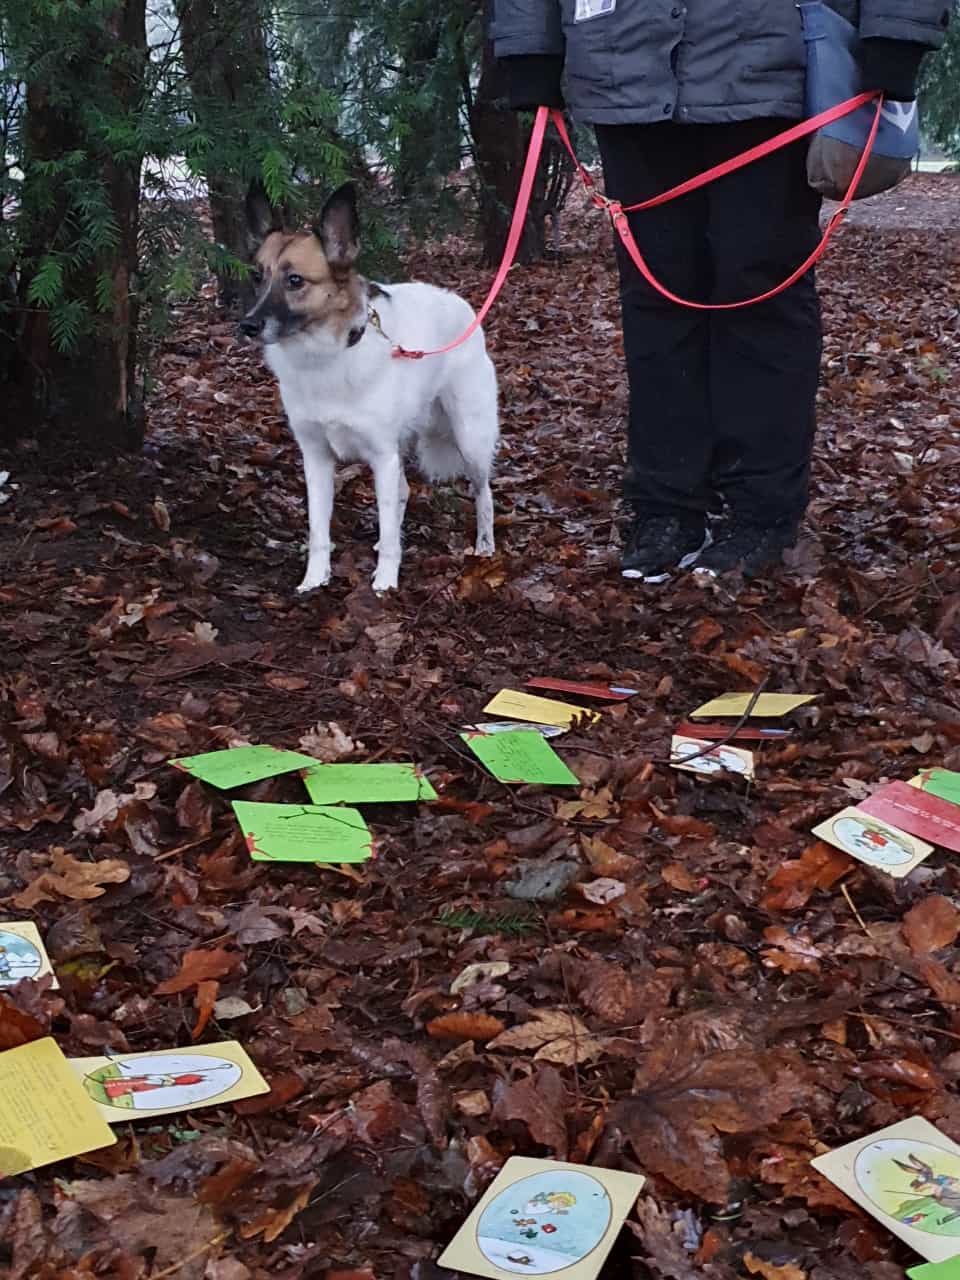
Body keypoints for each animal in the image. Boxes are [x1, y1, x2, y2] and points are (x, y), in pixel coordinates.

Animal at [240, 185, 499, 593]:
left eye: (295, 280)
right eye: (256, 276)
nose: (247, 325)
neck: (326, 355)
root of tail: (462, 306)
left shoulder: (382, 456)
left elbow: (390, 529)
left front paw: (385, 582)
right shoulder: (316, 458)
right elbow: (319, 530)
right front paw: (315, 579)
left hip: (469, 437)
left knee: (483, 493)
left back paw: (485, 546)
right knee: (405, 491)